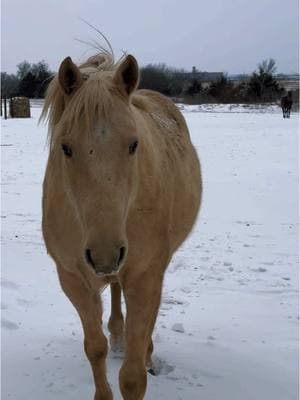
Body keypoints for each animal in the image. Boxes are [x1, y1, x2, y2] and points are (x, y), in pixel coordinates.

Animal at [41, 51, 202, 398]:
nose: (105, 253)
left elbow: (133, 376)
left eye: (134, 144)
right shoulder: (73, 279)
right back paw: (117, 334)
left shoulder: (145, 276)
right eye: (65, 147)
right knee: (115, 290)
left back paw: (146, 352)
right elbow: (95, 348)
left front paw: (141, 359)